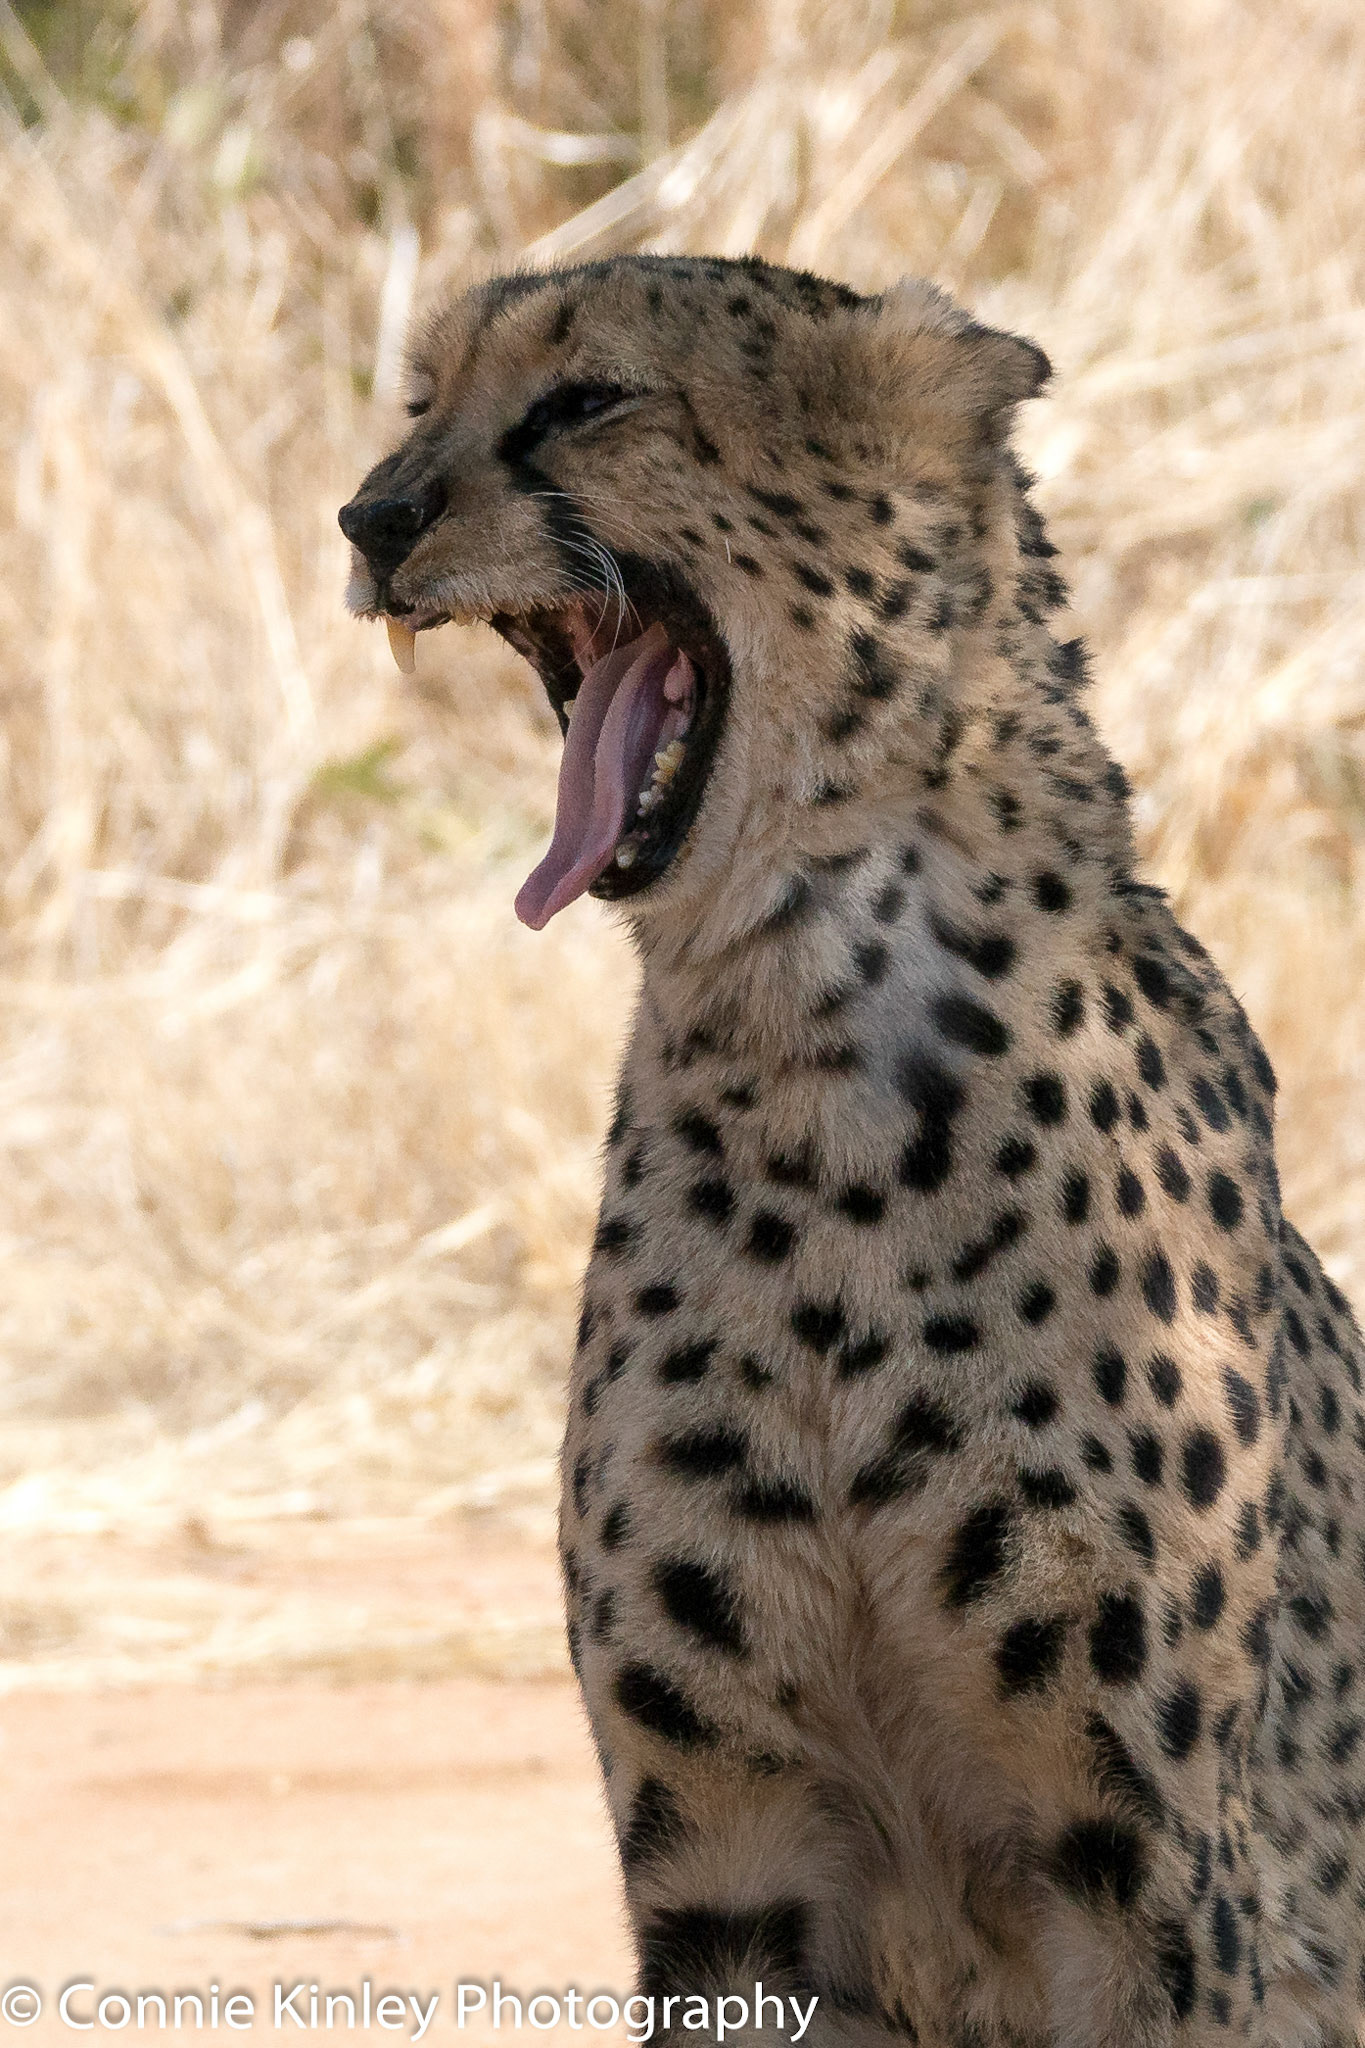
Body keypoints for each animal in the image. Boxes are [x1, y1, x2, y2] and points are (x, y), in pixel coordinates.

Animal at [339, 254, 1365, 2048]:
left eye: (586, 399)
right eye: (421, 401)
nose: (371, 517)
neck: (799, 1041)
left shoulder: (1157, 1882)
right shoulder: (728, 1868)